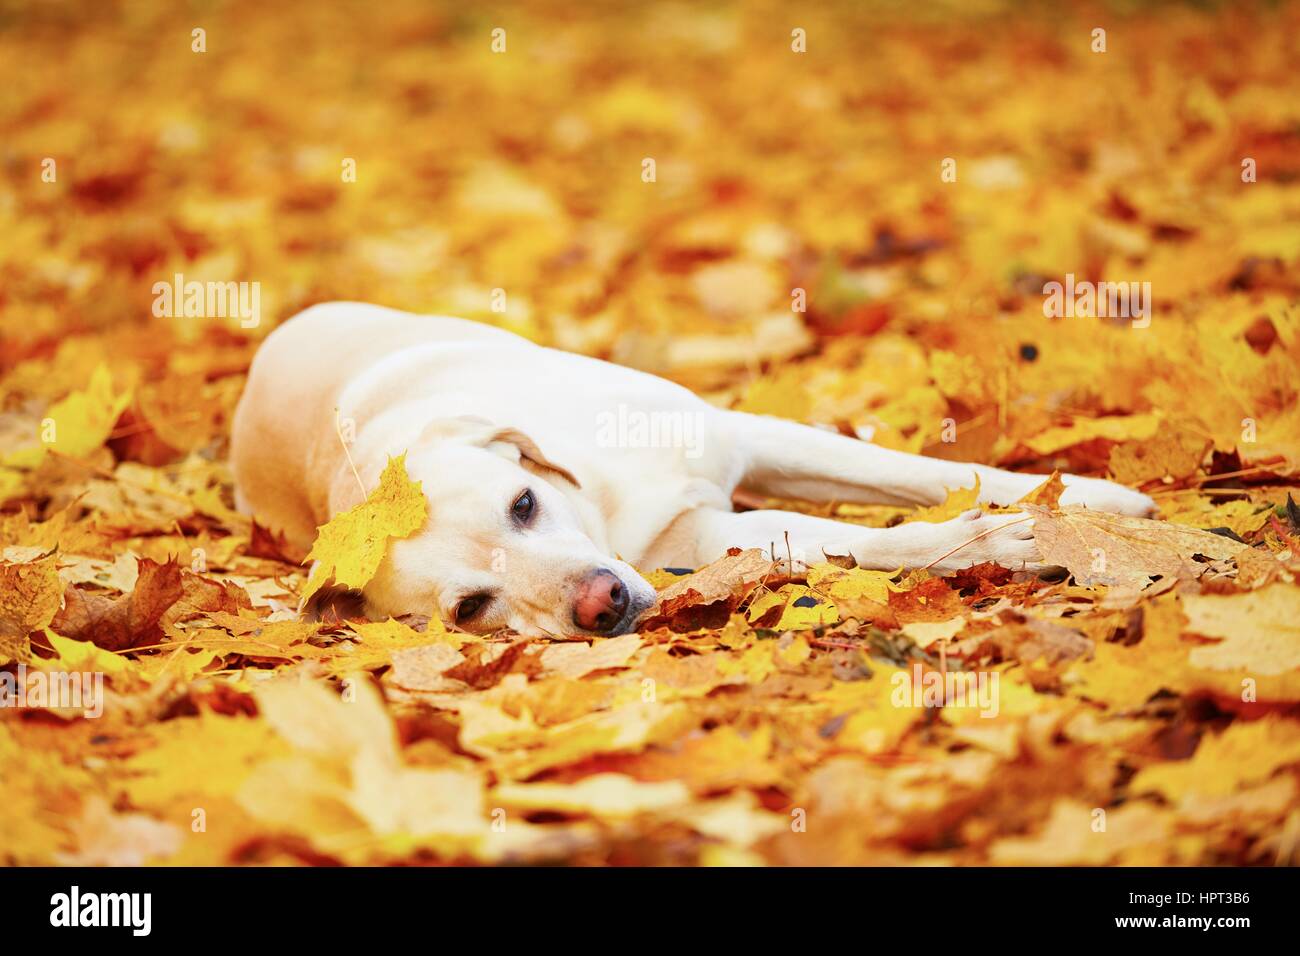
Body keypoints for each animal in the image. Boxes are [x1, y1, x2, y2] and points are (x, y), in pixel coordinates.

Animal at [228, 303, 1154, 639]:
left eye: (523, 504)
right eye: (470, 608)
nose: (599, 606)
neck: (599, 502)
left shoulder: (750, 433)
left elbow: (906, 471)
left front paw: (1090, 496)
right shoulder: (706, 537)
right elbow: (854, 537)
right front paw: (1010, 540)